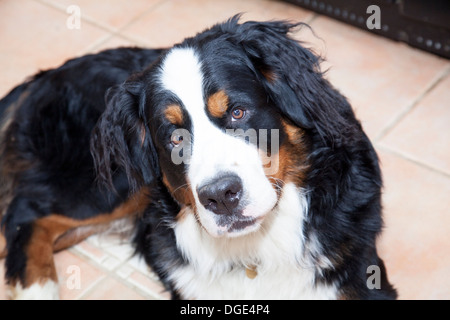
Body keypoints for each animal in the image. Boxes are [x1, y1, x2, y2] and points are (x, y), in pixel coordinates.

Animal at [0, 15, 396, 300]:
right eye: (176, 137)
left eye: (237, 112)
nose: (221, 196)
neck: (255, 248)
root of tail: (46, 76)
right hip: (104, 188)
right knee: (25, 214)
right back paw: (38, 290)